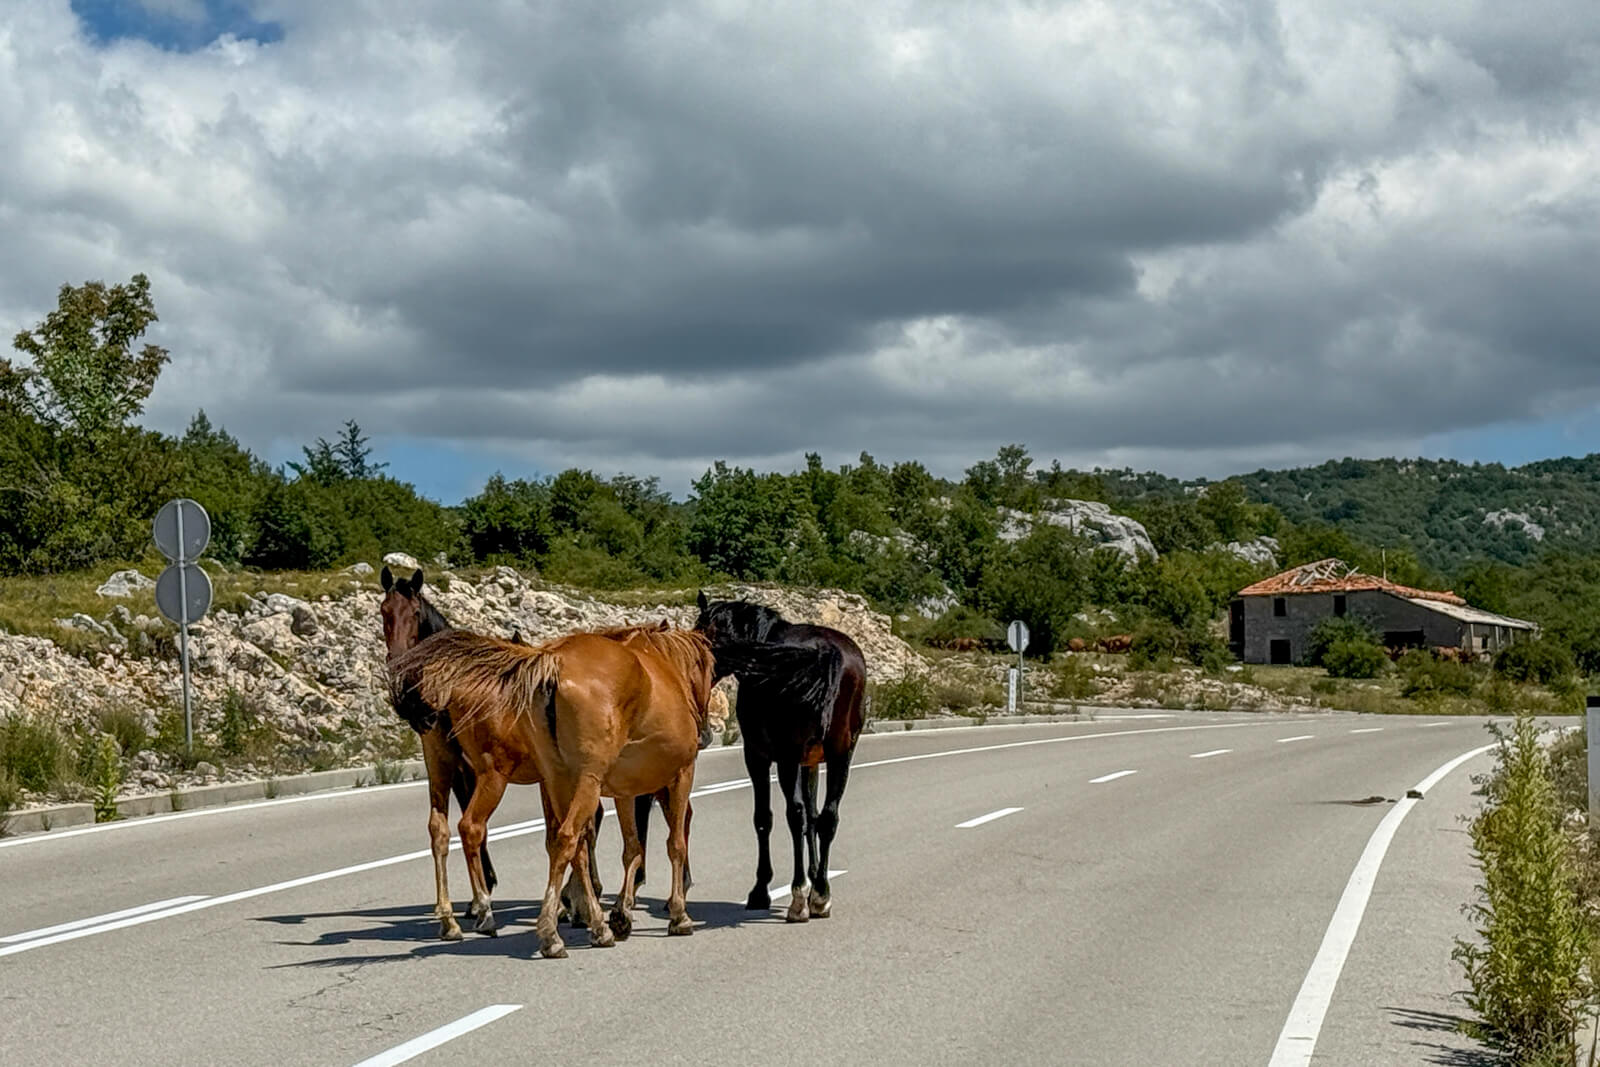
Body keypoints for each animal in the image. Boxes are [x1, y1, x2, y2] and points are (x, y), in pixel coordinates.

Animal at [379, 565, 602, 939]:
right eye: (384, 611)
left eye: (415, 613)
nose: (401, 671)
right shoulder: (454, 768)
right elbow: (452, 831)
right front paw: (463, 909)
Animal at [390, 623, 716, 958]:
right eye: (708, 667)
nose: (704, 733)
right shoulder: (678, 776)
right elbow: (674, 843)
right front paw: (677, 914)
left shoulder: (613, 789)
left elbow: (627, 847)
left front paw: (610, 912)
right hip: (509, 776)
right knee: (486, 829)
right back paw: (509, 919)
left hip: (444, 769)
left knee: (441, 830)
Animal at [692, 592, 866, 922]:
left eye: (701, 631)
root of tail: (825, 651)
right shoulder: (809, 762)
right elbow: (813, 815)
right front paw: (814, 878)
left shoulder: (757, 756)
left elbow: (765, 819)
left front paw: (761, 890)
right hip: (841, 754)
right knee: (828, 817)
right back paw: (821, 895)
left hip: (787, 758)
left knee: (794, 815)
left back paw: (799, 898)